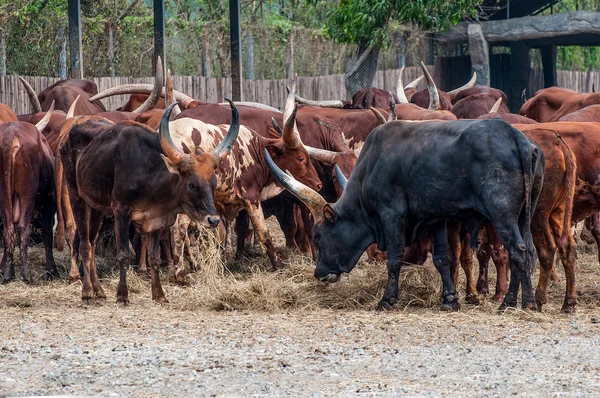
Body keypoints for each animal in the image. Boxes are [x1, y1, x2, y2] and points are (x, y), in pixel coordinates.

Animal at [268, 118, 544, 310]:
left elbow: (394, 259)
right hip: (523, 216)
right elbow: (442, 258)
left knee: (518, 251)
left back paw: (518, 303)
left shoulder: (392, 216)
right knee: (525, 251)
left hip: (503, 216)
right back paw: (516, 301)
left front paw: (387, 300)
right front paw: (449, 299)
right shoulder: (435, 219)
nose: (320, 273)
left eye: (318, 236)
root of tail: (516, 138)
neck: (371, 167)